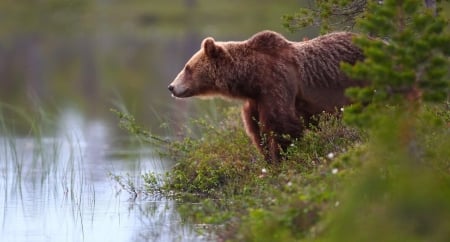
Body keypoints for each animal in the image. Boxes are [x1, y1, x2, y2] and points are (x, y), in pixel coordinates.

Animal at [169, 30, 366, 163]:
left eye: (187, 68)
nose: (171, 87)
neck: (251, 77)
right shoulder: (257, 100)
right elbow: (256, 130)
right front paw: (267, 158)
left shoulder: (277, 84)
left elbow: (282, 125)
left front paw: (281, 158)